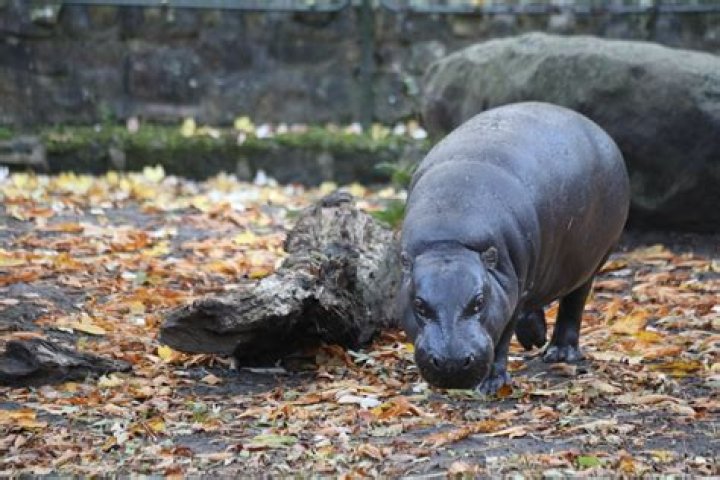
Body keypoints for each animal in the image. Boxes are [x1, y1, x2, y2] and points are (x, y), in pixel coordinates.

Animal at [399, 102, 630, 393]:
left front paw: (489, 385)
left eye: (479, 301)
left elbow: (501, 339)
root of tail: (596, 127)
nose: (452, 363)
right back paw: (536, 336)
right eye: (418, 304)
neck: (449, 240)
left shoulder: (509, 293)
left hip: (589, 261)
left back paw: (559, 353)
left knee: (574, 302)